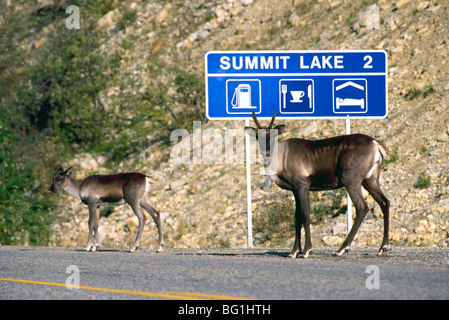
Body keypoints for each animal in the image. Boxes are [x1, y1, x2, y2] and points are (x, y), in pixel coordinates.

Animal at [245, 112, 388, 258]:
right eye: (257, 136)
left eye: (274, 135)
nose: (267, 151)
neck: (280, 160)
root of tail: (376, 144)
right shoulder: (294, 189)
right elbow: (296, 218)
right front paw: (294, 251)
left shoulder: (302, 185)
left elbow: (305, 215)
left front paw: (306, 250)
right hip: (370, 179)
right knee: (384, 202)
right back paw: (383, 247)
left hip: (351, 180)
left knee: (362, 207)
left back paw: (341, 249)